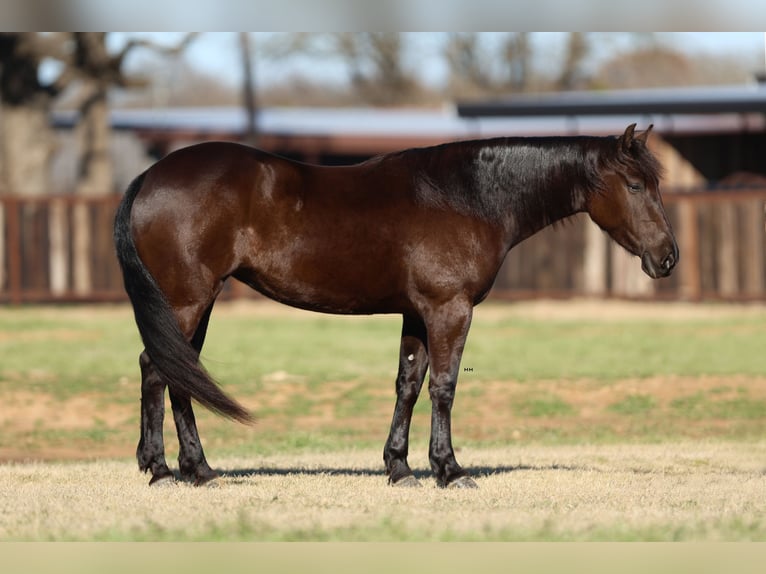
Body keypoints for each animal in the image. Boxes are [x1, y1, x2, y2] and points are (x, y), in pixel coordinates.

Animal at [114, 125, 680, 490]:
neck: (466, 197)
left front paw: (400, 468)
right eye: (635, 185)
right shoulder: (449, 310)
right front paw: (450, 470)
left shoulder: (416, 313)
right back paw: (167, 471)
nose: (667, 257)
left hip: (196, 302)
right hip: (187, 300)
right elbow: (443, 387)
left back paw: (192, 469)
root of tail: (149, 176)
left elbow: (408, 384)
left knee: (174, 370)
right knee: (160, 370)